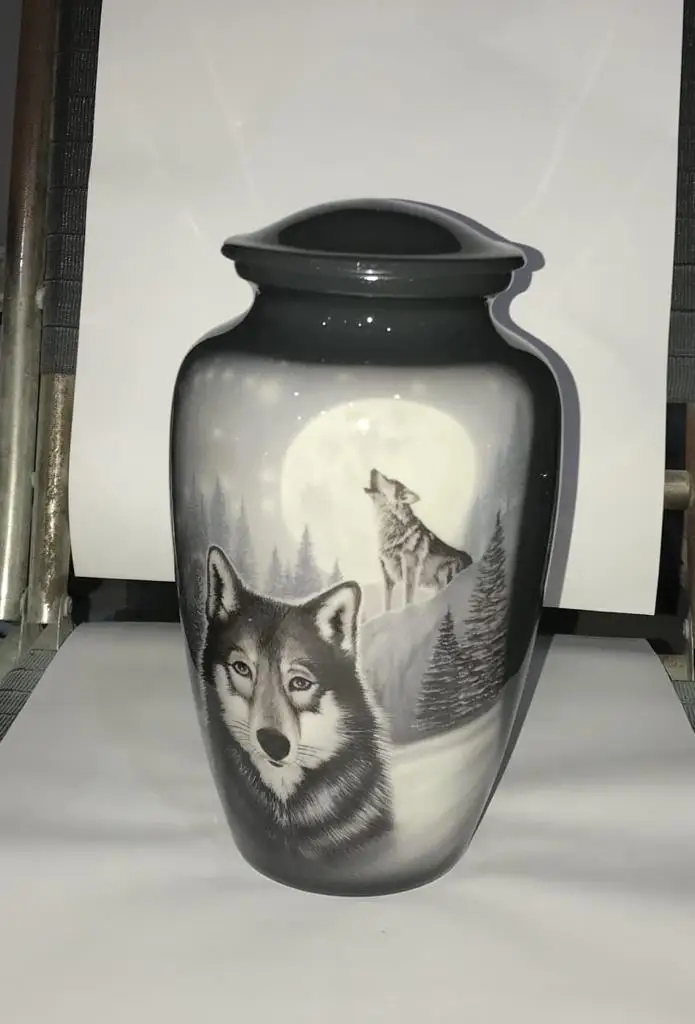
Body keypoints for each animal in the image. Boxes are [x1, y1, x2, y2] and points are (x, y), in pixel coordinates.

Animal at [364, 467, 473, 611]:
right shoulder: (387, 575)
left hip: (443, 572)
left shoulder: (410, 569)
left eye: (389, 480)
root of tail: (471, 559)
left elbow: (407, 600)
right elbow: (386, 604)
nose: (373, 469)